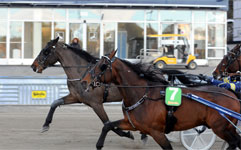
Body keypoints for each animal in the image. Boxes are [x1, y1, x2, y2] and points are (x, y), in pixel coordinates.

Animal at [81, 49, 241, 149]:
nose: (84, 81)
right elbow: (108, 125)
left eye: (102, 66)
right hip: (226, 127)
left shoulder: (157, 132)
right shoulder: (132, 123)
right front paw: (100, 144)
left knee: (234, 142)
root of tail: (232, 96)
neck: (142, 95)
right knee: (236, 142)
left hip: (220, 127)